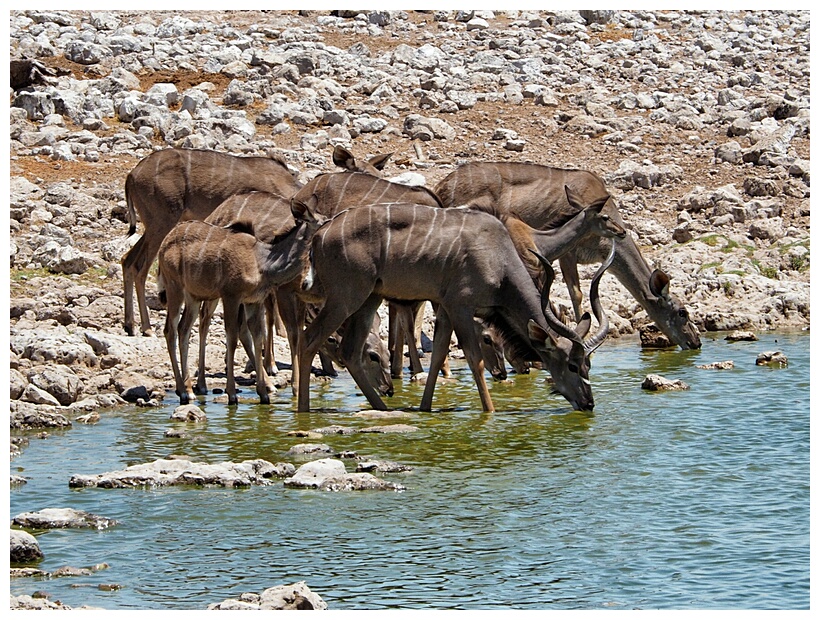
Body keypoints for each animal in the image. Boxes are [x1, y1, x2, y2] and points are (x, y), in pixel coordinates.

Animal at [157, 196, 326, 404]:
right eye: (323, 221)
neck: (261, 263)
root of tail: (163, 245)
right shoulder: (231, 295)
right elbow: (232, 337)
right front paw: (232, 393)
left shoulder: (253, 300)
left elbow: (257, 336)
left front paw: (263, 393)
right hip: (175, 289)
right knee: (170, 330)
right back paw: (184, 391)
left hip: (193, 297)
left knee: (184, 329)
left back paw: (189, 389)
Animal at [296, 203, 616, 414]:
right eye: (572, 365)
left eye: (588, 365)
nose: (588, 403)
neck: (498, 260)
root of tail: (319, 235)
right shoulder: (461, 304)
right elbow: (475, 359)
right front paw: (490, 413)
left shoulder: (446, 307)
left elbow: (439, 354)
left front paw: (425, 409)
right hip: (346, 297)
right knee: (309, 339)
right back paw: (303, 412)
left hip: (370, 297)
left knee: (350, 350)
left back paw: (384, 408)